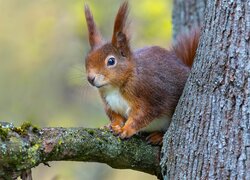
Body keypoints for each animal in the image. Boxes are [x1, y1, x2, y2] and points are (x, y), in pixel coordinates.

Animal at [84, 1, 199, 145]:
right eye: (86, 60)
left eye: (111, 61)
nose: (91, 78)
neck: (115, 87)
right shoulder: (109, 103)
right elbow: (116, 116)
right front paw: (113, 125)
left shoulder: (149, 96)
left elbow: (142, 116)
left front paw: (126, 129)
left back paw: (158, 136)